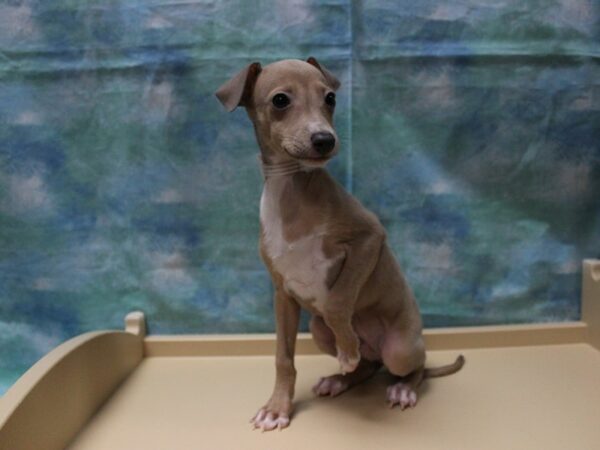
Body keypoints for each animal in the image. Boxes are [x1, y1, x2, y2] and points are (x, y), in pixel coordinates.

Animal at [216, 58, 464, 430]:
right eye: (280, 100)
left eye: (330, 98)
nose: (324, 140)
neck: (291, 191)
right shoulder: (283, 295)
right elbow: (283, 357)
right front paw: (277, 407)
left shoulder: (369, 238)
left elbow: (337, 301)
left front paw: (347, 348)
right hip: (318, 330)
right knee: (368, 366)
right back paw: (340, 379)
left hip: (400, 348)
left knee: (412, 367)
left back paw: (401, 387)